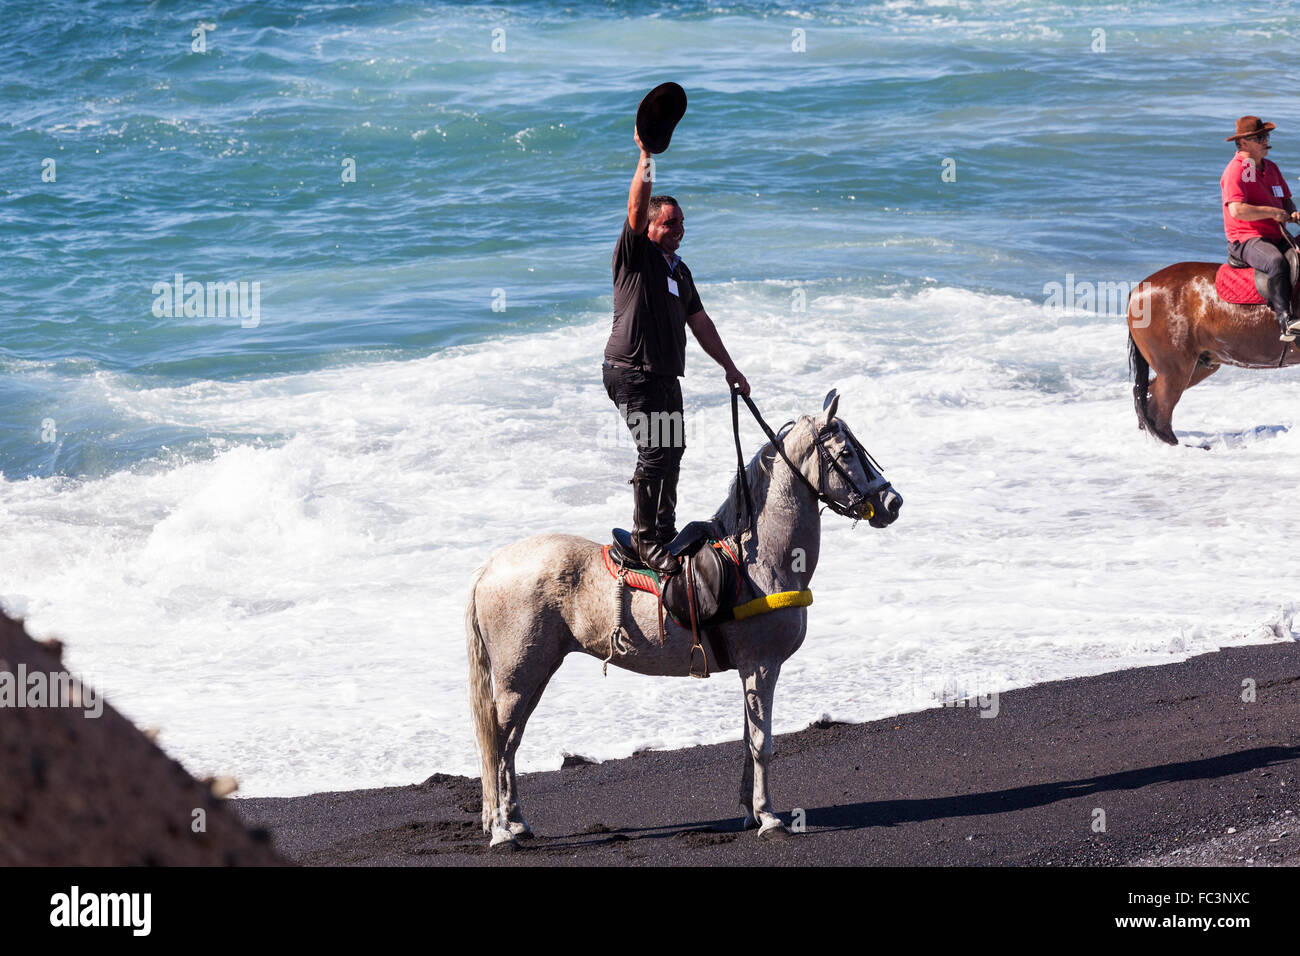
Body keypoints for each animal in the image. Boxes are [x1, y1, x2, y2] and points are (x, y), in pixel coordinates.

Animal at [464, 388, 903, 848]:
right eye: (846, 453)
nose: (893, 502)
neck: (759, 557)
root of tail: (490, 567)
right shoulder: (762, 665)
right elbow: (762, 743)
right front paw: (768, 816)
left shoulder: (749, 669)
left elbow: (747, 739)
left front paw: (749, 810)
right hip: (517, 676)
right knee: (496, 744)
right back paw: (500, 830)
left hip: (535, 672)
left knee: (509, 744)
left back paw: (516, 821)